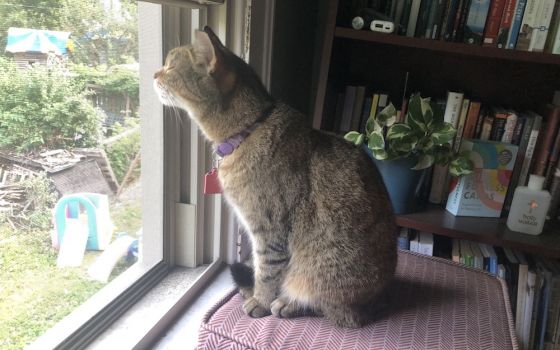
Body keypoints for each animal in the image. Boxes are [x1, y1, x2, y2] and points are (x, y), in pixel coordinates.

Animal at [154, 26, 398, 328]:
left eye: (170, 66)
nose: (154, 74)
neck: (250, 128)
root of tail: (381, 299)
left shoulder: (269, 228)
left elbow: (267, 271)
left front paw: (260, 300)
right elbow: (262, 269)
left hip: (326, 274)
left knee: (338, 312)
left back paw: (288, 304)